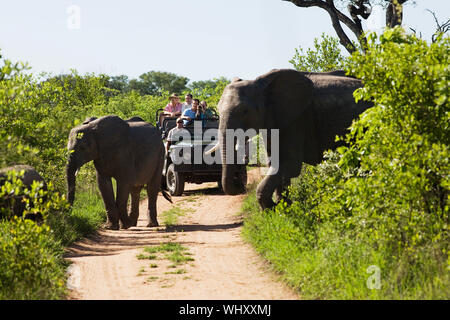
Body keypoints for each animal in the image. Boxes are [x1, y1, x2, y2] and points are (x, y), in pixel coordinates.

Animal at [216, 69, 370, 210]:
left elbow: (289, 165)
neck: (263, 87)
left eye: (245, 111)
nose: (239, 183)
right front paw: (283, 208)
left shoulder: (297, 119)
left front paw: (273, 208)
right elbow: (274, 162)